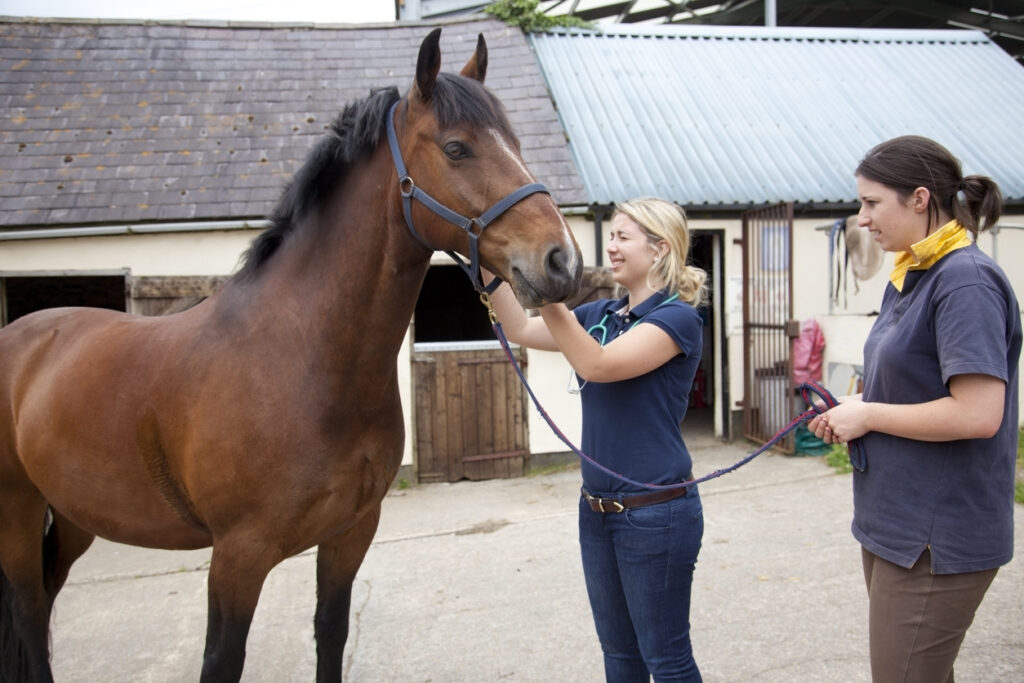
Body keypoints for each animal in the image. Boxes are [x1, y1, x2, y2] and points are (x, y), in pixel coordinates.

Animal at [0, 28, 582, 682]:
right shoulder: (237, 555)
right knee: (28, 609)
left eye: (516, 143)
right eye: (457, 148)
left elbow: (330, 633)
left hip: (73, 516)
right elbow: (222, 659)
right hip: (16, 510)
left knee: (45, 598)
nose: (562, 261)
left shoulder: (351, 532)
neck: (302, 360)